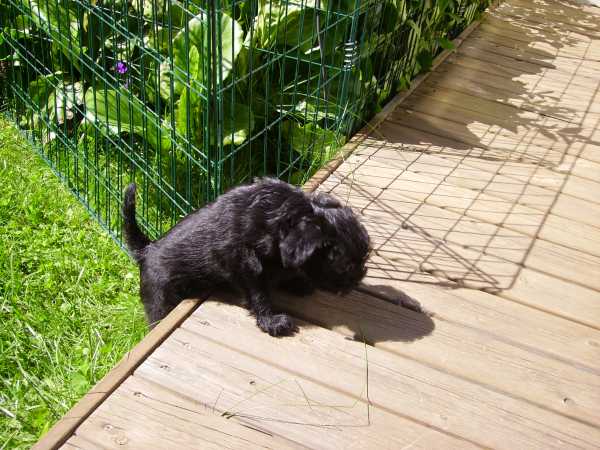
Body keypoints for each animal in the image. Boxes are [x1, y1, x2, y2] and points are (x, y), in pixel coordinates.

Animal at [122, 177, 370, 336]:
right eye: (345, 266)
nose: (357, 280)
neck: (281, 216)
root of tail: (146, 250)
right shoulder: (245, 265)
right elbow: (259, 295)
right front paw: (272, 321)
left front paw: (297, 281)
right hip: (160, 300)